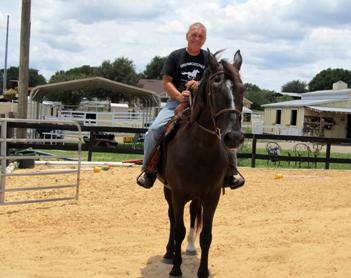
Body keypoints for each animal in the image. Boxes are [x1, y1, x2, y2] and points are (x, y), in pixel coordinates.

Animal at [158, 48, 246, 276]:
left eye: (242, 89)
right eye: (215, 89)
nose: (233, 137)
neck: (200, 150)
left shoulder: (212, 196)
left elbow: (206, 235)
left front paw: (203, 271)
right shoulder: (178, 193)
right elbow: (178, 229)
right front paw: (176, 268)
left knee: (192, 214)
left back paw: (190, 247)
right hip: (168, 191)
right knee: (172, 218)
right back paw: (169, 253)